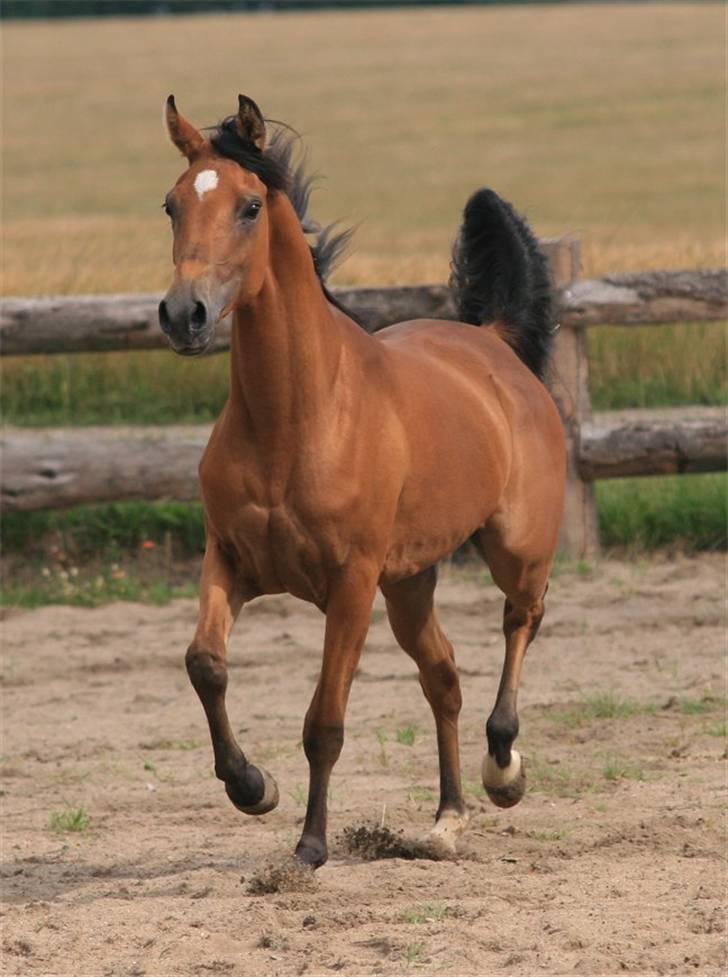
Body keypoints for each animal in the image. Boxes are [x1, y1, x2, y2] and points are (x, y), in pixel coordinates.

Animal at [159, 95, 564, 864]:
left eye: (249, 206)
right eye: (171, 204)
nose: (182, 315)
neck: (297, 418)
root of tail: (493, 343)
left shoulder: (350, 583)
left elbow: (325, 720)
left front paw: (309, 847)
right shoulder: (230, 559)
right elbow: (205, 664)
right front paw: (252, 786)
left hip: (514, 549)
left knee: (520, 620)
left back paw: (504, 769)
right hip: (409, 584)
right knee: (442, 676)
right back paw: (446, 819)